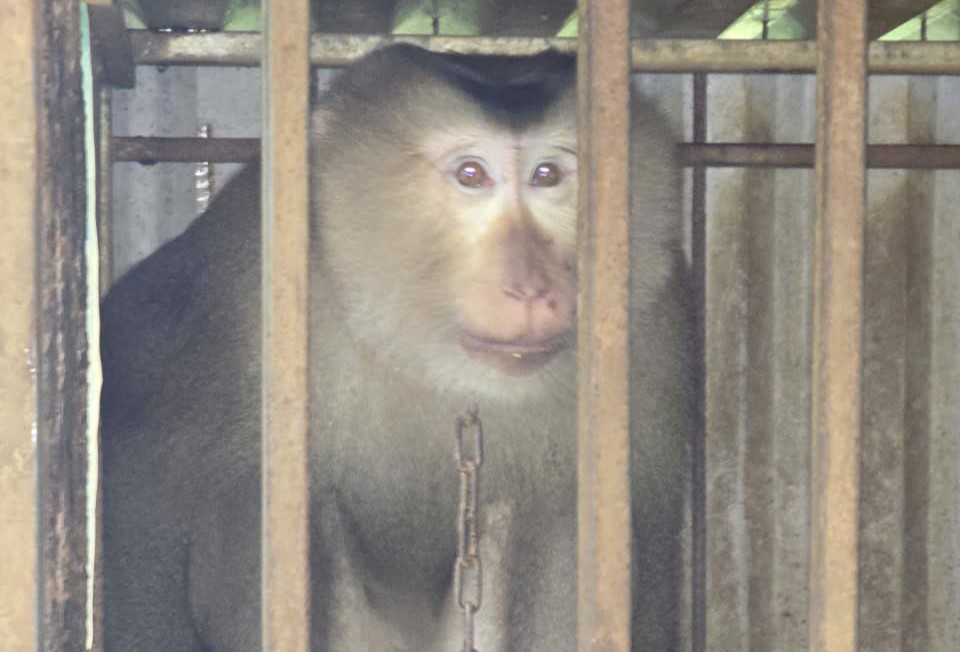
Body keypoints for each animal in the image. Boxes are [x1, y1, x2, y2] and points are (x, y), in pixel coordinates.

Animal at [100, 44, 695, 652]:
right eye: (472, 175)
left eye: (547, 175)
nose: (532, 288)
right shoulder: (236, 300)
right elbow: (143, 518)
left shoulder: (656, 327)